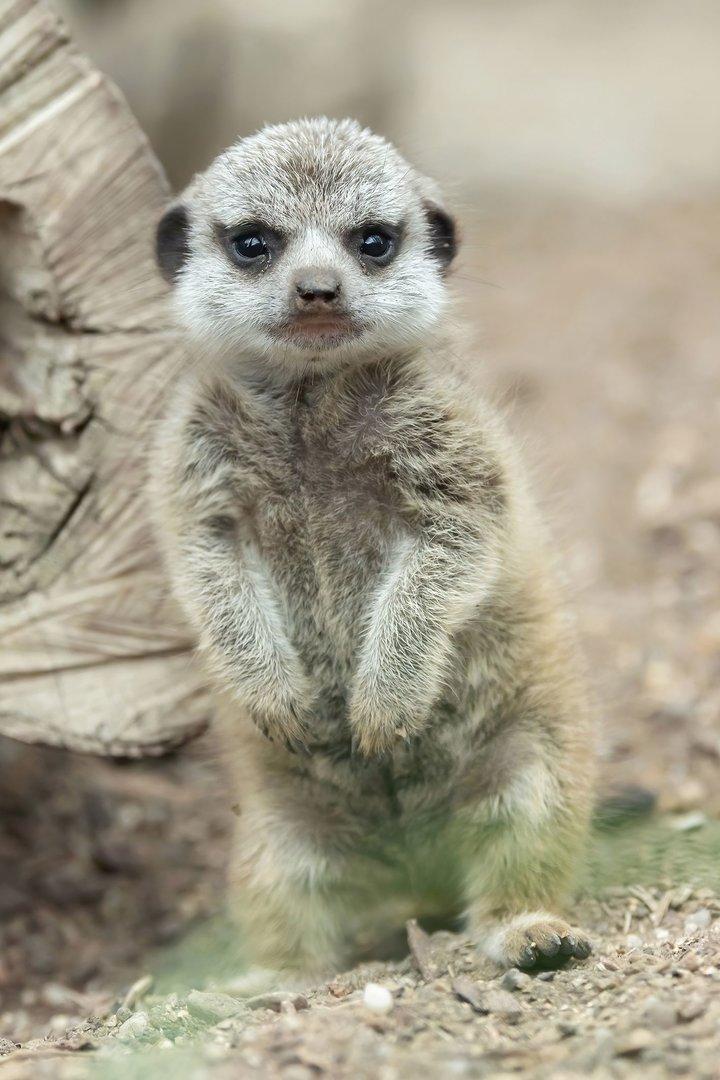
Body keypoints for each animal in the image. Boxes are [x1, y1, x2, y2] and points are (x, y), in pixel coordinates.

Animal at [149, 117, 595, 992]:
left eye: (373, 241)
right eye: (253, 242)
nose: (318, 288)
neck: (309, 412)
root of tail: (412, 870)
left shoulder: (450, 441)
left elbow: (453, 548)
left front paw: (384, 702)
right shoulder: (194, 458)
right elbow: (204, 561)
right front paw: (273, 691)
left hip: (532, 755)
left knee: (524, 836)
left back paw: (531, 932)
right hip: (275, 827)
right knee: (283, 893)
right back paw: (273, 978)